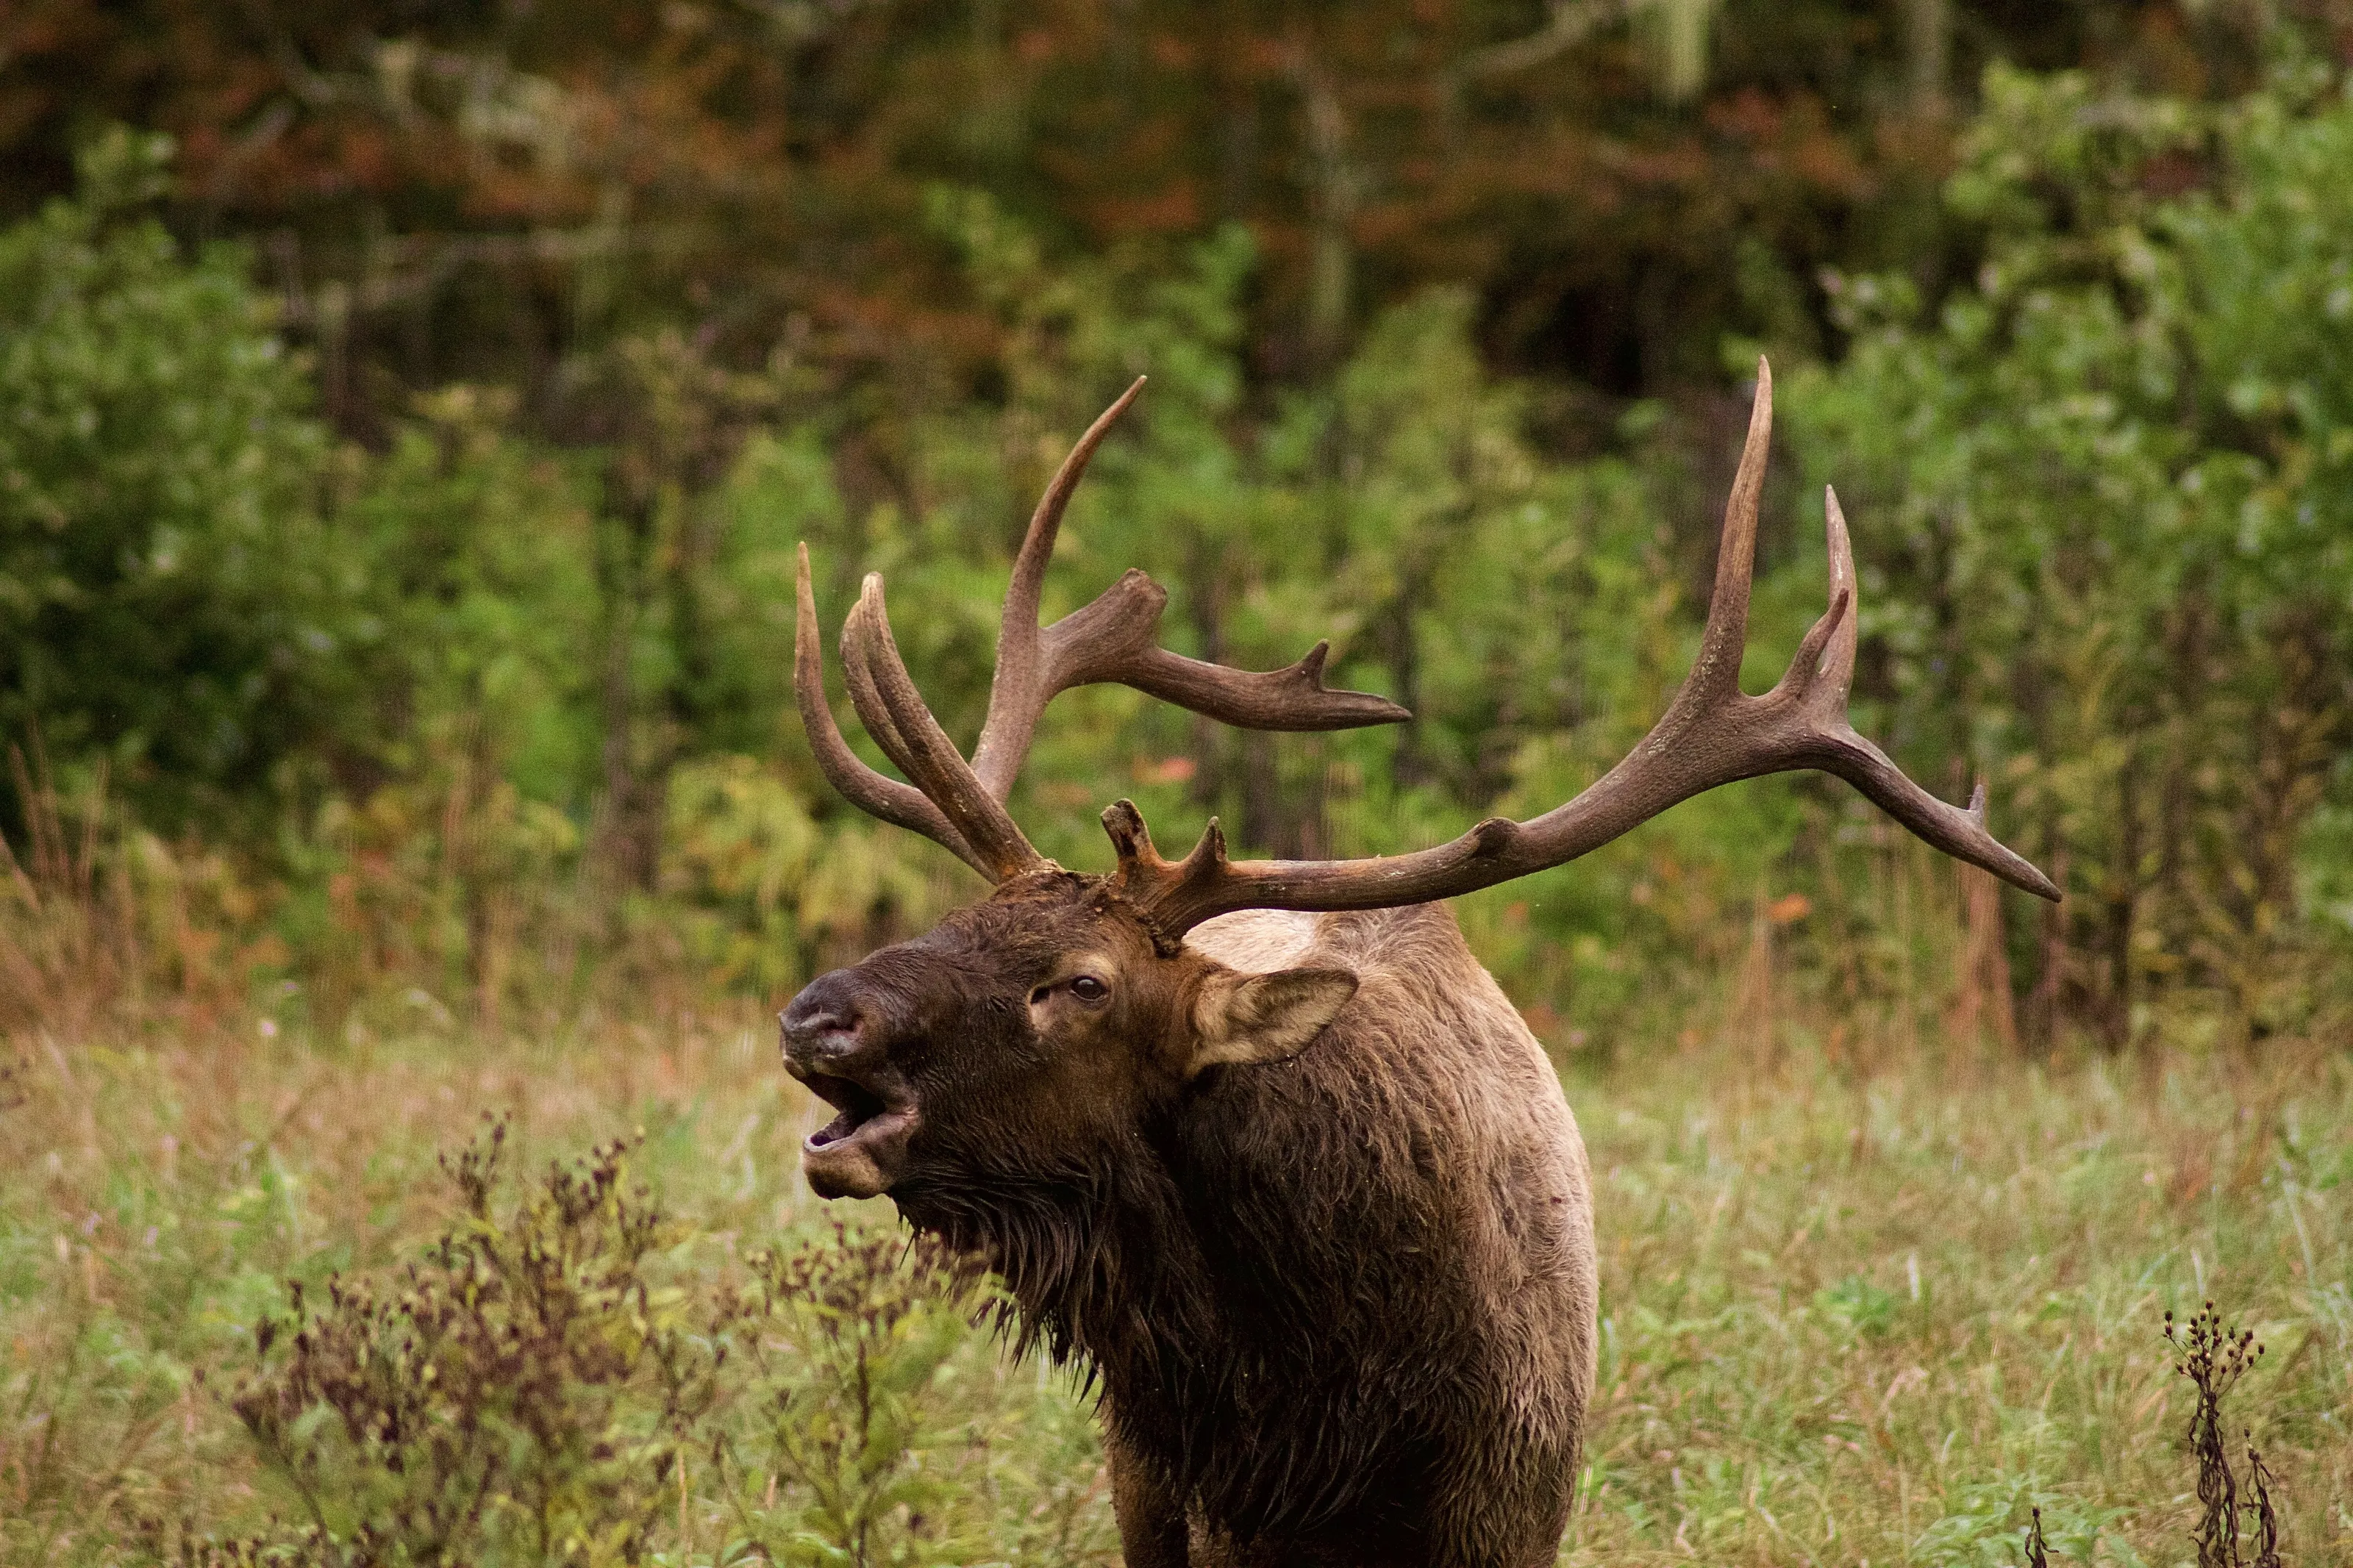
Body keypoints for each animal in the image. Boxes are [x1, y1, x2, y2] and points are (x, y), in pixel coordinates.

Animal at [778, 360, 2057, 1568]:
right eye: (965, 911)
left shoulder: (1513, 1510)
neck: (1334, 1405)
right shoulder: (1176, 1505)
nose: (816, 1018)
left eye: (1084, 983)